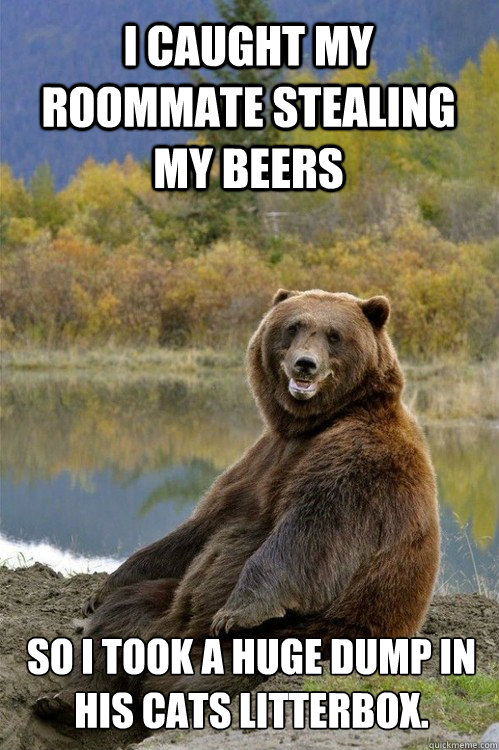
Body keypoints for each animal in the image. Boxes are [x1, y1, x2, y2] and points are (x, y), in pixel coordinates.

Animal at [35, 289, 439, 720]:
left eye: (334, 335)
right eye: (293, 326)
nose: (305, 363)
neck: (311, 425)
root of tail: (174, 640)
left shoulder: (359, 462)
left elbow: (312, 531)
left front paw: (238, 611)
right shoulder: (261, 461)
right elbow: (202, 528)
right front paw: (100, 590)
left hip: (305, 634)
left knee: (217, 677)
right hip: (164, 606)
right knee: (121, 619)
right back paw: (63, 700)